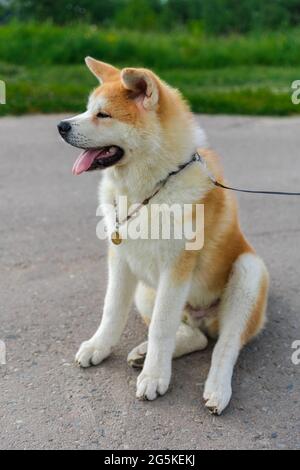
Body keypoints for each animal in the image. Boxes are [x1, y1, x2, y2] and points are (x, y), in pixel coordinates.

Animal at [57, 57, 268, 414]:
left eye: (103, 115)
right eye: (86, 110)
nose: (61, 126)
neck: (147, 192)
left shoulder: (176, 269)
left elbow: (161, 327)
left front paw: (155, 377)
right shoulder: (121, 261)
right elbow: (112, 310)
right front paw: (99, 347)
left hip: (248, 272)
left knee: (225, 344)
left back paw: (216, 389)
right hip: (146, 290)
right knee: (196, 336)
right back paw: (144, 355)